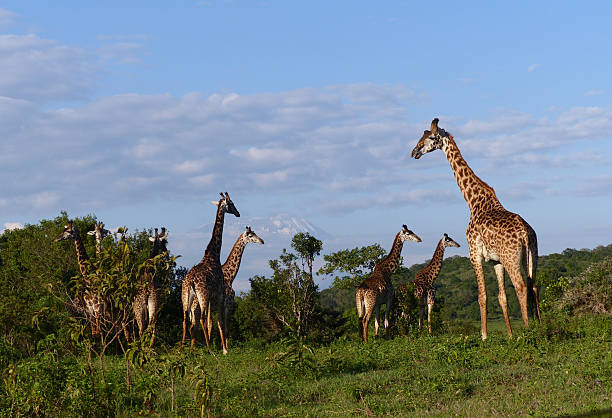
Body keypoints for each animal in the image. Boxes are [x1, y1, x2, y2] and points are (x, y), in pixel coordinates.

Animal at [179, 192, 239, 352]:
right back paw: (208, 348)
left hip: (186, 297)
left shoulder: (213, 297)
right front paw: (224, 349)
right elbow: (218, 320)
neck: (213, 254)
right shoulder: (219, 294)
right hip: (202, 295)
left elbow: (212, 320)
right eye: (231, 203)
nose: (238, 213)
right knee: (200, 318)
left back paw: (182, 349)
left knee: (185, 319)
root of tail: (191, 281)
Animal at [412, 117, 540, 340]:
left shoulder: (474, 253)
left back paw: (527, 331)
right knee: (533, 286)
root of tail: (526, 233)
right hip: (532, 255)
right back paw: (540, 327)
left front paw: (484, 336)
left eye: (430, 137)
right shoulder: (496, 261)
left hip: (512, 258)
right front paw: (509, 335)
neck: (473, 202)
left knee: (522, 287)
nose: (414, 152)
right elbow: (502, 296)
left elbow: (482, 295)